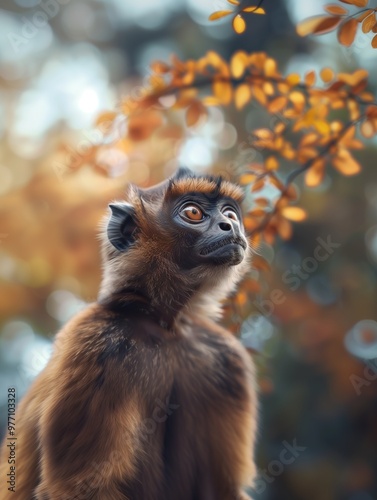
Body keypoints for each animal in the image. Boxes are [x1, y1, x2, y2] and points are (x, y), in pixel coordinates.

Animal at [0, 168, 258, 500]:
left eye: (230, 214)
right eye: (193, 213)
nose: (230, 225)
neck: (164, 324)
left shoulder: (224, 356)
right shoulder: (99, 341)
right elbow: (80, 487)